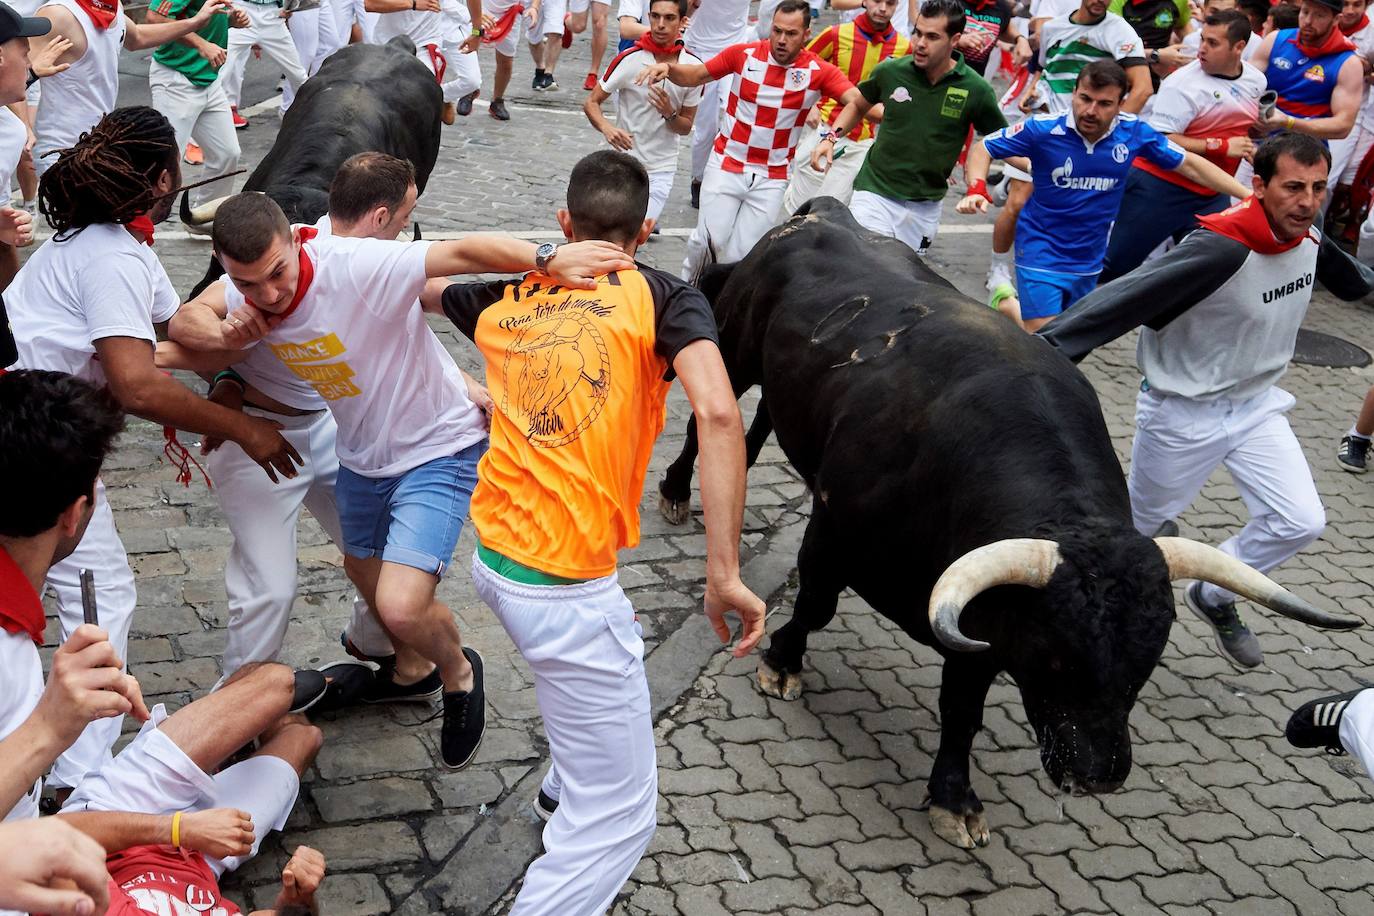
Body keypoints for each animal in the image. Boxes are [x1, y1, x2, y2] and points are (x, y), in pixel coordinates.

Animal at [659, 197, 1357, 851]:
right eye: (1056, 659)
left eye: (1146, 662)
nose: (1098, 775)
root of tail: (826, 213)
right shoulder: (835, 526)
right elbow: (816, 603)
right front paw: (781, 663)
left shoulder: (985, 620)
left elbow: (962, 709)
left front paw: (954, 798)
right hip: (734, 347)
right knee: (707, 422)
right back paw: (674, 492)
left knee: (754, 430)